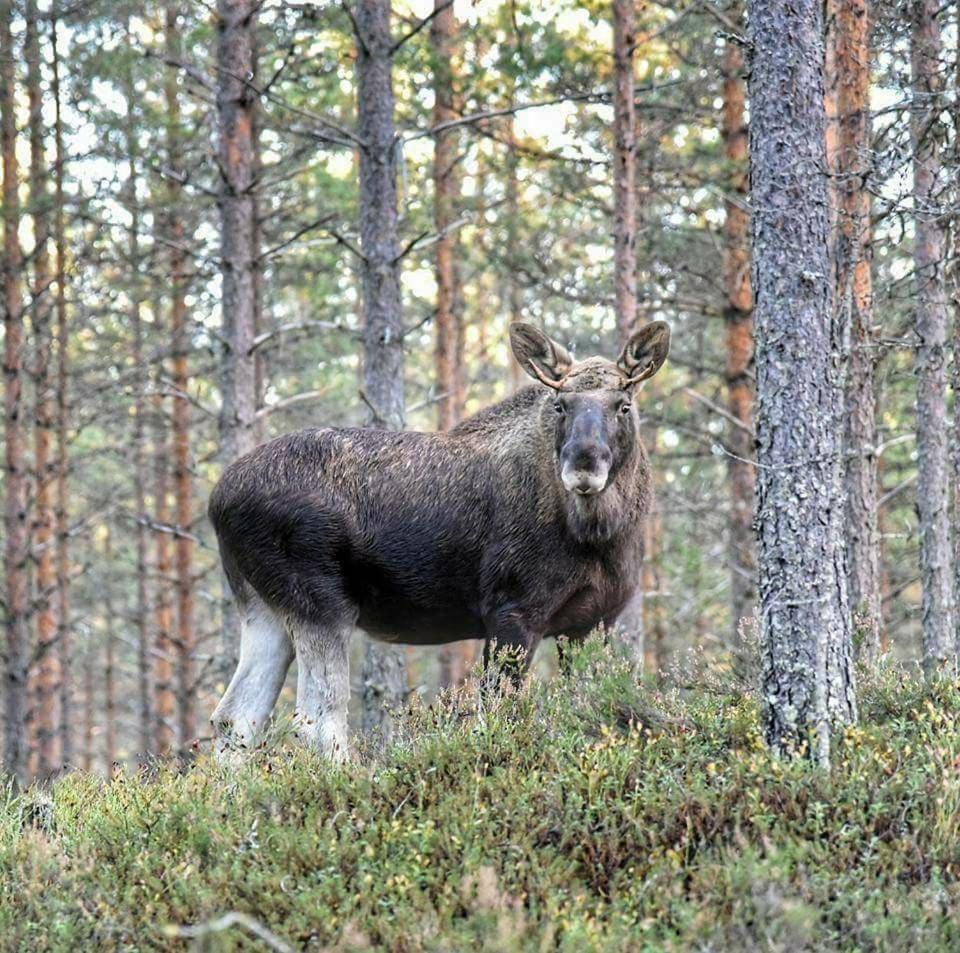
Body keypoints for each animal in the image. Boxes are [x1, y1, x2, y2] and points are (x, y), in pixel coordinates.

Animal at [206, 320, 672, 760]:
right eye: (561, 404)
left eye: (623, 404)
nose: (583, 464)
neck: (602, 537)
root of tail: (217, 500)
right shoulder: (512, 611)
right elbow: (500, 715)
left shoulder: (594, 622)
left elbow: (588, 710)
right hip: (320, 603)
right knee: (317, 720)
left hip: (264, 608)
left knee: (235, 718)